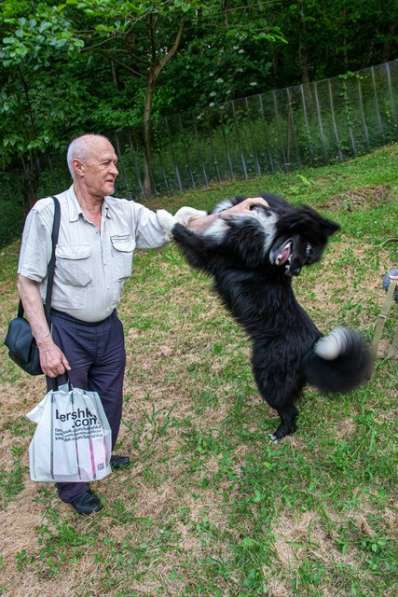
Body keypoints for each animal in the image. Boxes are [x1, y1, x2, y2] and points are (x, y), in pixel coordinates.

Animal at [172, 193, 374, 440]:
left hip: (267, 377)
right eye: (308, 250)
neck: (267, 228)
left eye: (308, 259)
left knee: (289, 411)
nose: (295, 272)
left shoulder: (213, 255)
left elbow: (186, 237)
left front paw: (169, 222)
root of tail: (312, 349)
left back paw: (278, 434)